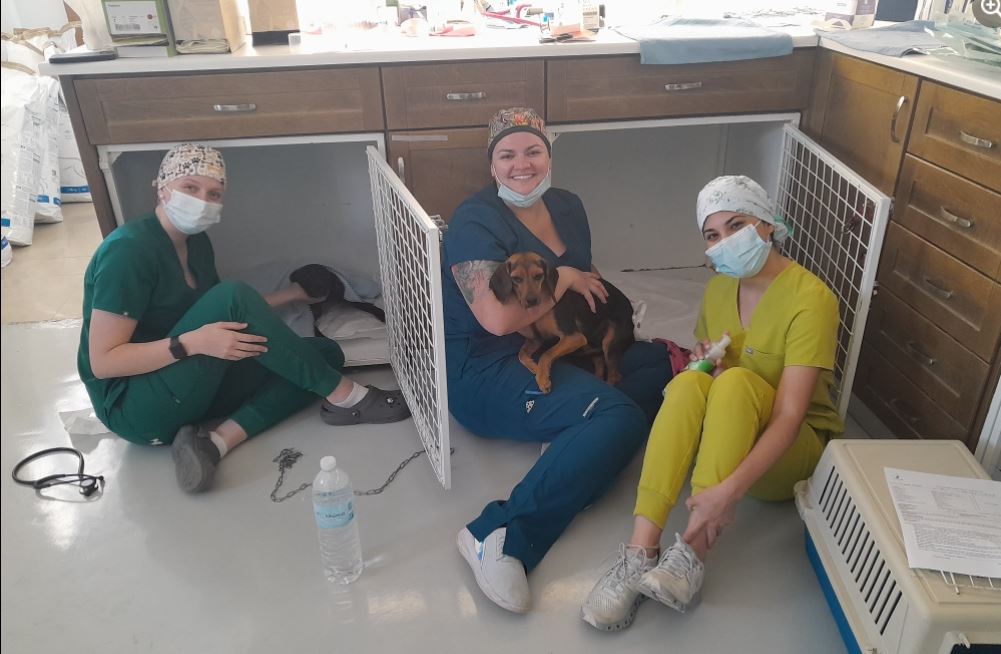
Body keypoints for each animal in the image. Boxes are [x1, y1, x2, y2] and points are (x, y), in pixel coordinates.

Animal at [490, 252, 632, 390]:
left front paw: (543, 378)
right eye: (516, 279)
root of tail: (630, 308)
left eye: (538, 276)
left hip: (608, 343)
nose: (532, 301)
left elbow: (546, 354)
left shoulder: (574, 337)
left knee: (614, 376)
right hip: (591, 342)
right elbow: (521, 355)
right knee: (600, 365)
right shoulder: (536, 339)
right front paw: (535, 368)